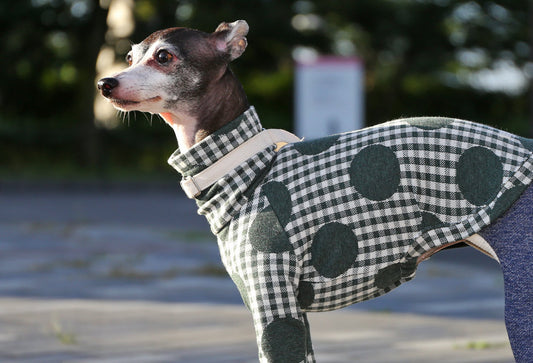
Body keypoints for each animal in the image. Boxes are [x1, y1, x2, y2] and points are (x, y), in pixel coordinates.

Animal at [97, 20, 528, 363]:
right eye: (131, 55)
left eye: (164, 56)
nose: (105, 83)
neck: (244, 166)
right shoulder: (290, 312)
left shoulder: (274, 306)